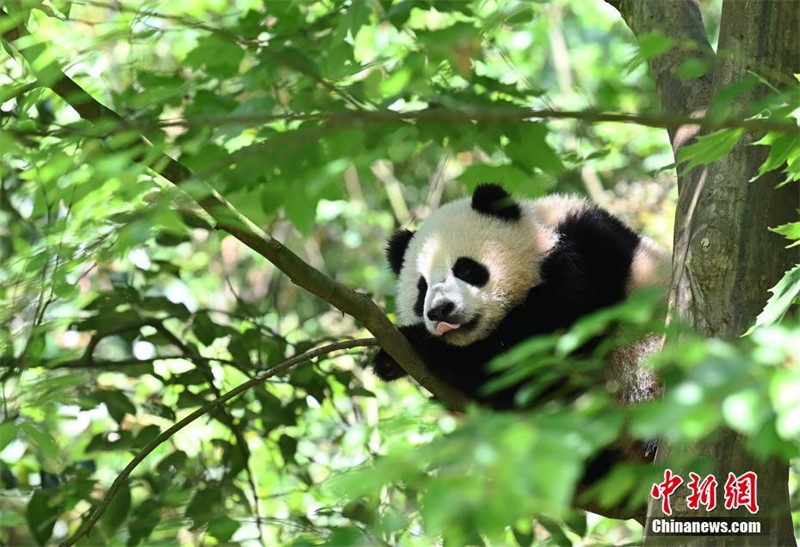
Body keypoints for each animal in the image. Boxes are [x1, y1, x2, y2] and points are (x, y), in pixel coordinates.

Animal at [368, 185, 668, 510]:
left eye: (466, 269)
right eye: (422, 288)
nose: (440, 311)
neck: (541, 233)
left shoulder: (587, 269)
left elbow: (530, 358)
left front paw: (412, 342)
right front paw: (392, 363)